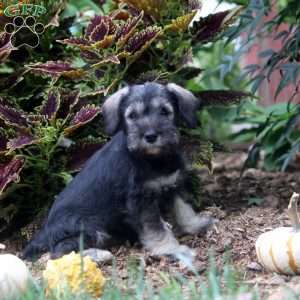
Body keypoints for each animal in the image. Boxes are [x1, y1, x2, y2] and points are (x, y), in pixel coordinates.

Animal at [24, 82, 216, 264]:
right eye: (132, 115)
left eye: (164, 111)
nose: (150, 136)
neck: (153, 160)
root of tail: (44, 231)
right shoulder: (141, 201)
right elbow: (155, 229)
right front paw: (171, 249)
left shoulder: (174, 184)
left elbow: (184, 209)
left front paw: (197, 224)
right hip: (86, 226)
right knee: (60, 252)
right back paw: (99, 255)